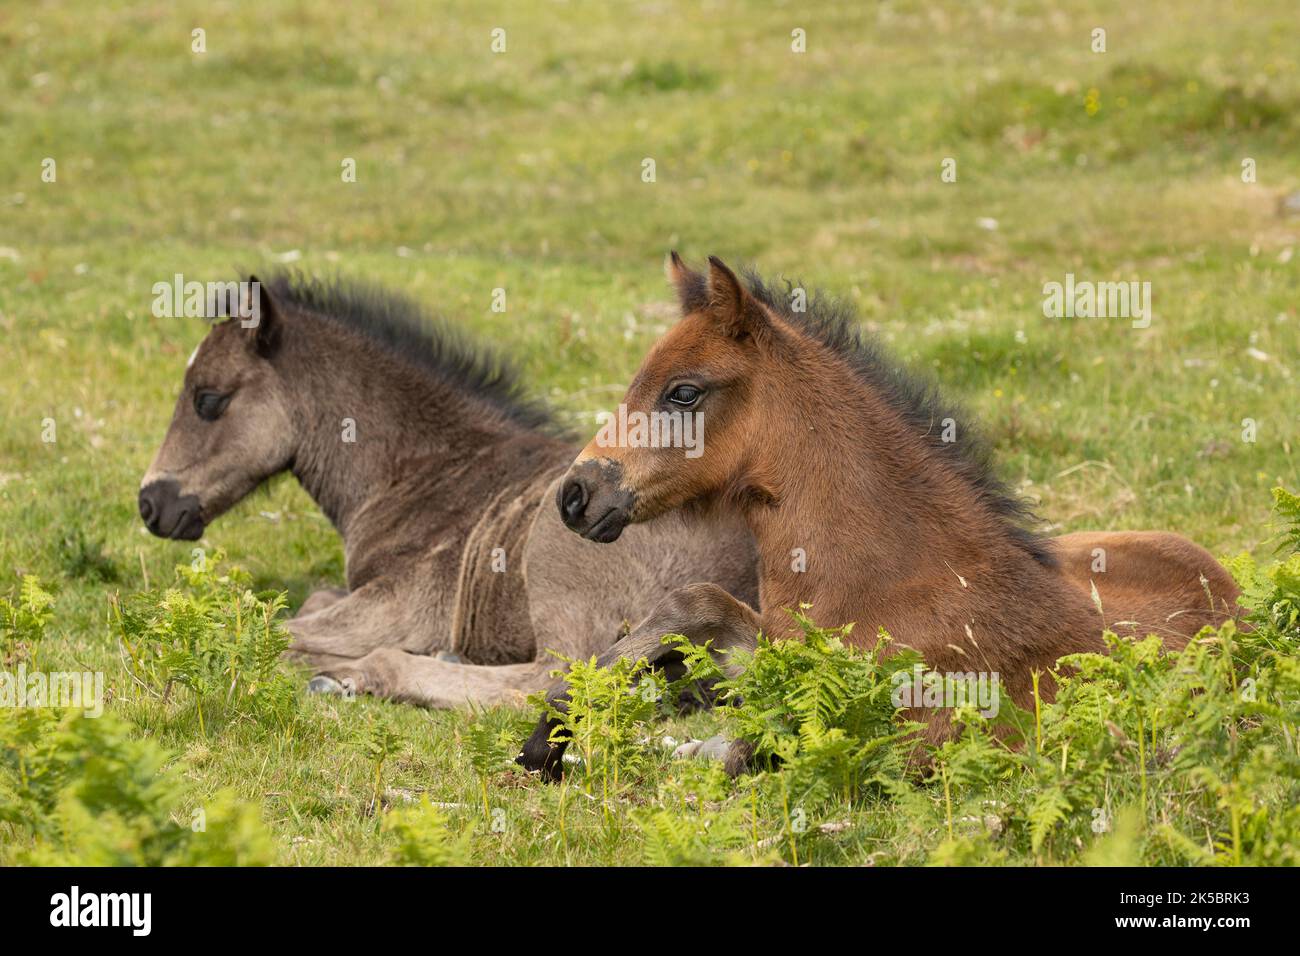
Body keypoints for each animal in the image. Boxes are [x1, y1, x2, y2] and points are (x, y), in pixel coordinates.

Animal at [138, 272, 758, 707]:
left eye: (208, 399)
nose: (151, 504)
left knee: (550, 681)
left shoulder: (405, 606)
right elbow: (306, 604)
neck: (424, 473)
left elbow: (262, 630)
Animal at [518, 254, 1240, 777]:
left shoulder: (867, 738)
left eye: (684, 392)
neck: (889, 587)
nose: (575, 495)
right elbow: (698, 605)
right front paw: (548, 737)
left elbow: (741, 745)